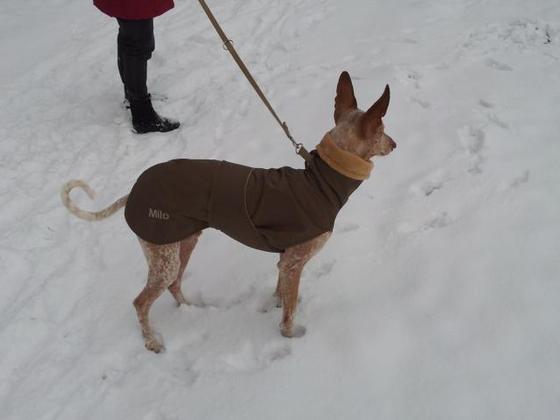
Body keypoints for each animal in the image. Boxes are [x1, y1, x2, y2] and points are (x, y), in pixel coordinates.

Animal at [61, 71, 396, 352]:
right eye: (382, 129)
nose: (394, 145)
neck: (320, 182)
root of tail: (133, 193)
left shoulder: (285, 261)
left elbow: (281, 294)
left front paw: (276, 304)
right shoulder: (294, 262)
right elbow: (289, 312)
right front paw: (291, 336)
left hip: (183, 242)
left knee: (175, 284)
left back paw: (190, 311)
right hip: (163, 254)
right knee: (140, 302)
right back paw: (152, 342)